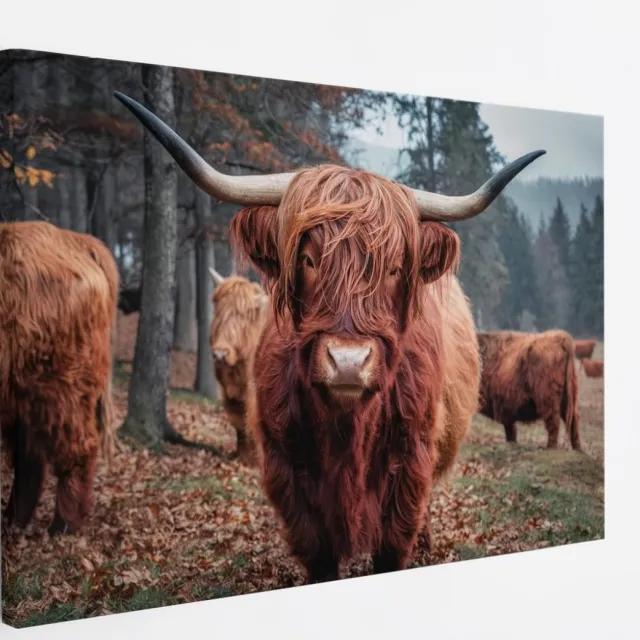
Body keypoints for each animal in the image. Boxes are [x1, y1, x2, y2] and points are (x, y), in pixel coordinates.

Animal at [0, 221, 118, 535]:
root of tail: (80, 242)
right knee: (29, 459)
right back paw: (13, 522)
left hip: (57, 386)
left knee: (76, 449)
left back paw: (62, 526)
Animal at [208, 267, 269, 465]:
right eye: (219, 311)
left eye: (244, 315)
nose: (220, 354)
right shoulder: (229, 394)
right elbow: (240, 425)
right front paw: (244, 459)